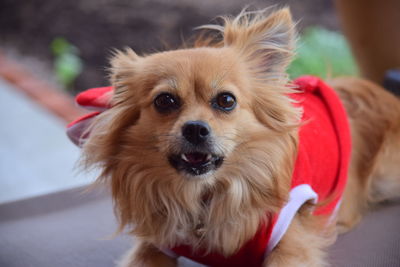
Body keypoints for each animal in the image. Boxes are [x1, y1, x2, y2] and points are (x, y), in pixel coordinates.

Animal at [73, 7, 400, 266]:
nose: (195, 128)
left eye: (226, 101)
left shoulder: (292, 241)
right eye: (164, 101)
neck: (205, 198)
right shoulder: (154, 244)